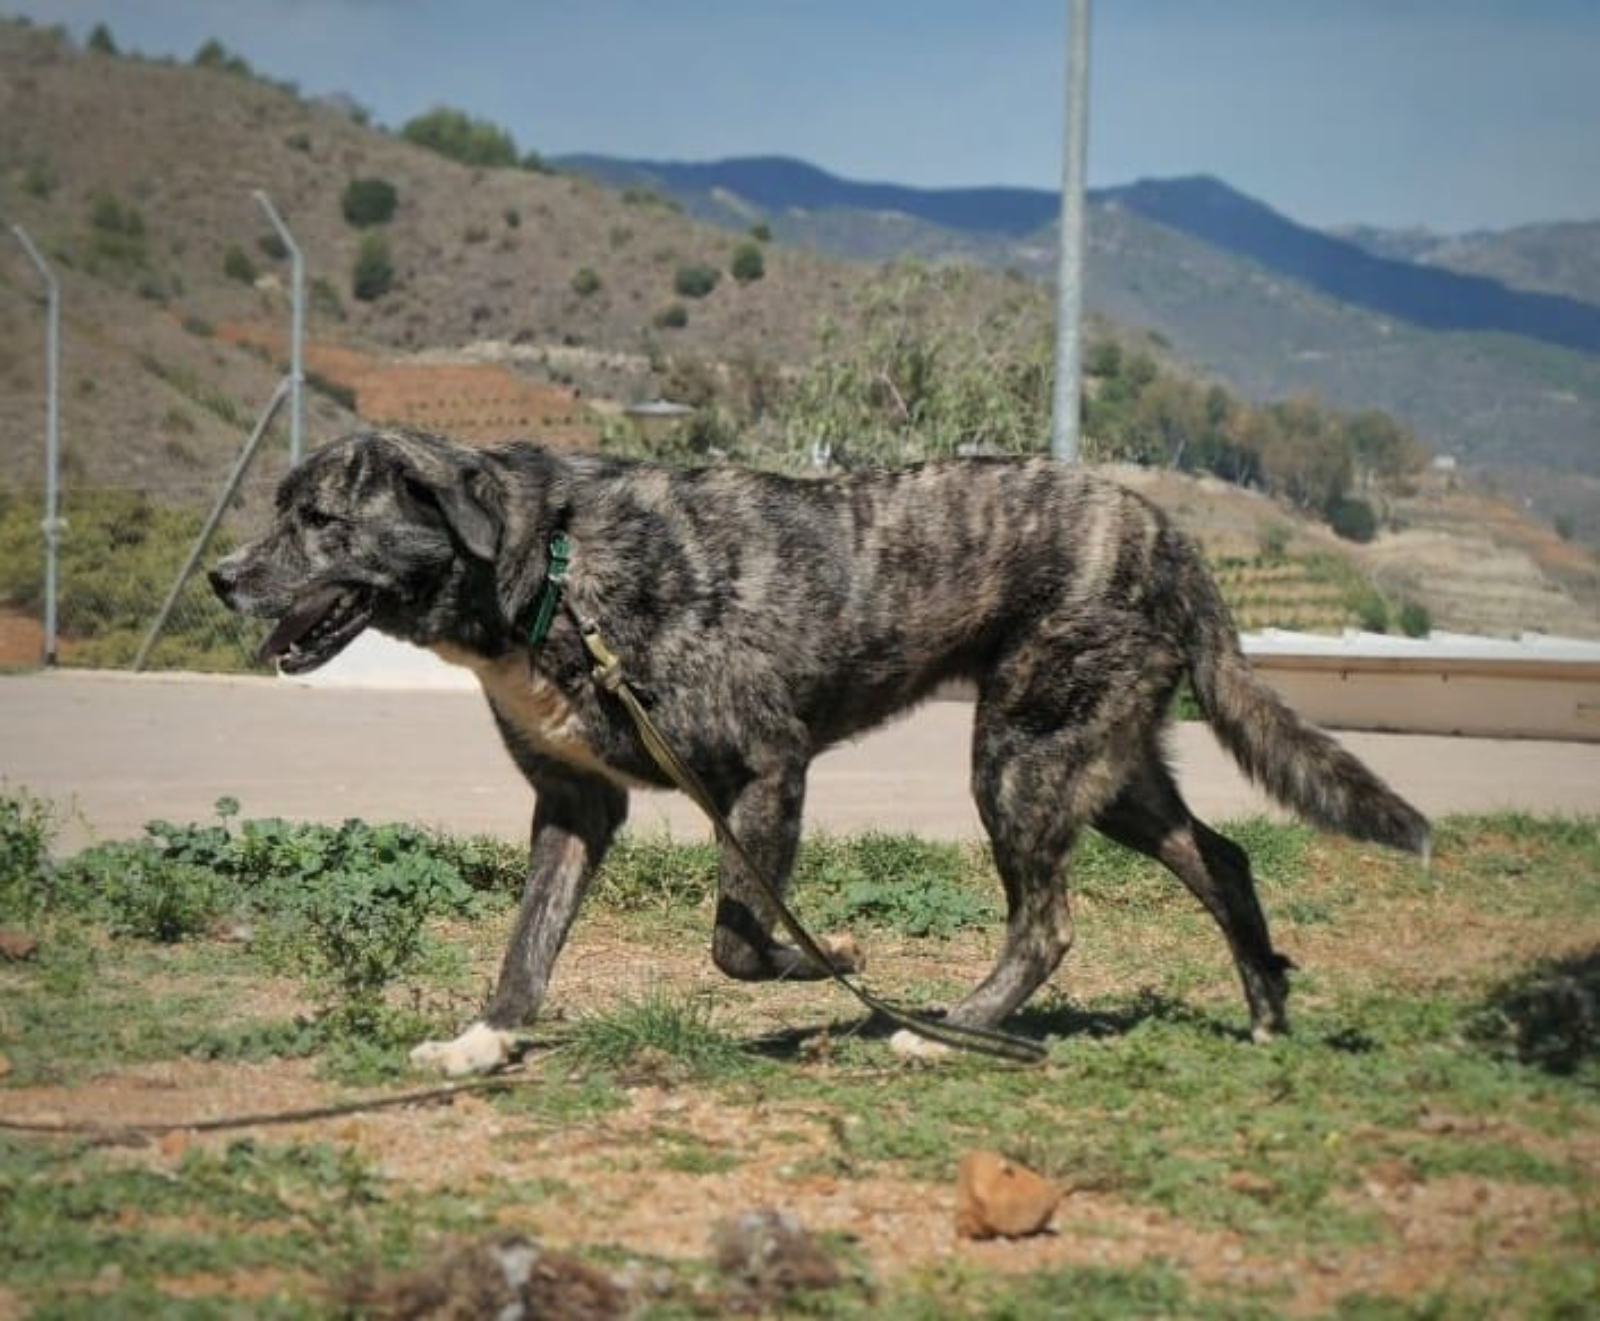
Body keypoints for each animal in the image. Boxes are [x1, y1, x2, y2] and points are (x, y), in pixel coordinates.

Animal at [211, 428, 1428, 1075]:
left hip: (1019, 763)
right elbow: (526, 950)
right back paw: (1264, 1009)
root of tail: (1168, 531)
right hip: (1102, 766)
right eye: (280, 510)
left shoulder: (765, 769)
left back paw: (953, 1031)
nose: (222, 578)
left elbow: (740, 941)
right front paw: (484, 1042)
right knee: (1221, 857)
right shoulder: (575, 806)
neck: (548, 572)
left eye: (321, 520)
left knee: (1049, 923)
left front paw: (835, 957)